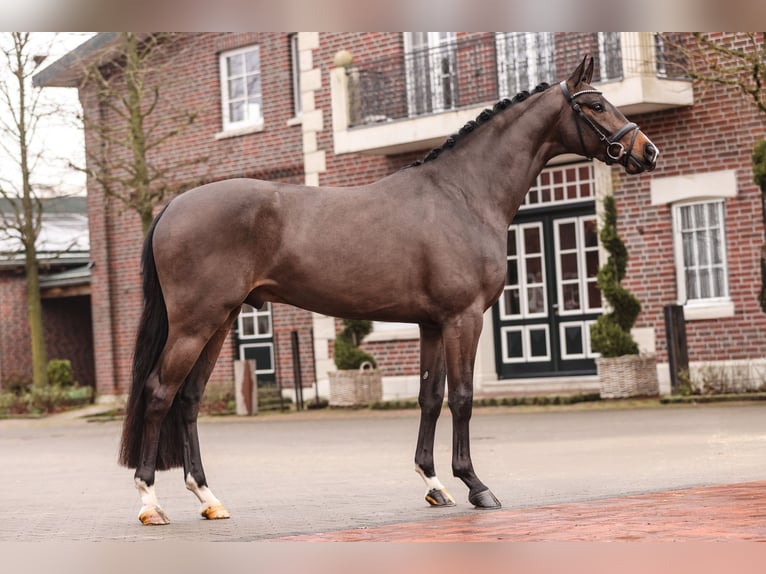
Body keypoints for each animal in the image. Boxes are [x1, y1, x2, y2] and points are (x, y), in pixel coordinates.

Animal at [120, 56, 660, 528]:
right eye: (595, 105)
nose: (647, 151)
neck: (462, 195)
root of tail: (172, 207)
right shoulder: (464, 318)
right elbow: (462, 397)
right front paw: (475, 485)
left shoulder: (432, 324)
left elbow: (430, 397)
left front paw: (435, 484)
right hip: (196, 323)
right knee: (159, 393)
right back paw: (149, 502)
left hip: (221, 321)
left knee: (189, 399)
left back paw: (209, 498)